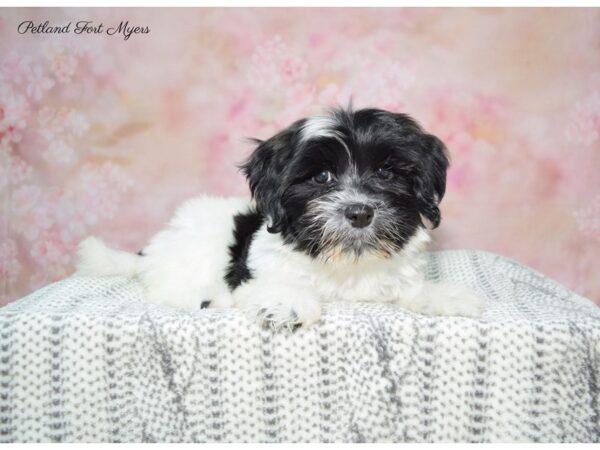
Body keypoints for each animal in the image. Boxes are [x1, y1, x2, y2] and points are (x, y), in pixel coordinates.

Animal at [76, 106, 488, 330]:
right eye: (321, 177)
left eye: (386, 172)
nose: (359, 212)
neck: (346, 260)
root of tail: (152, 249)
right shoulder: (258, 271)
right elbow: (272, 286)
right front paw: (286, 303)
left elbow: (408, 288)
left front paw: (444, 295)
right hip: (193, 250)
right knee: (169, 288)